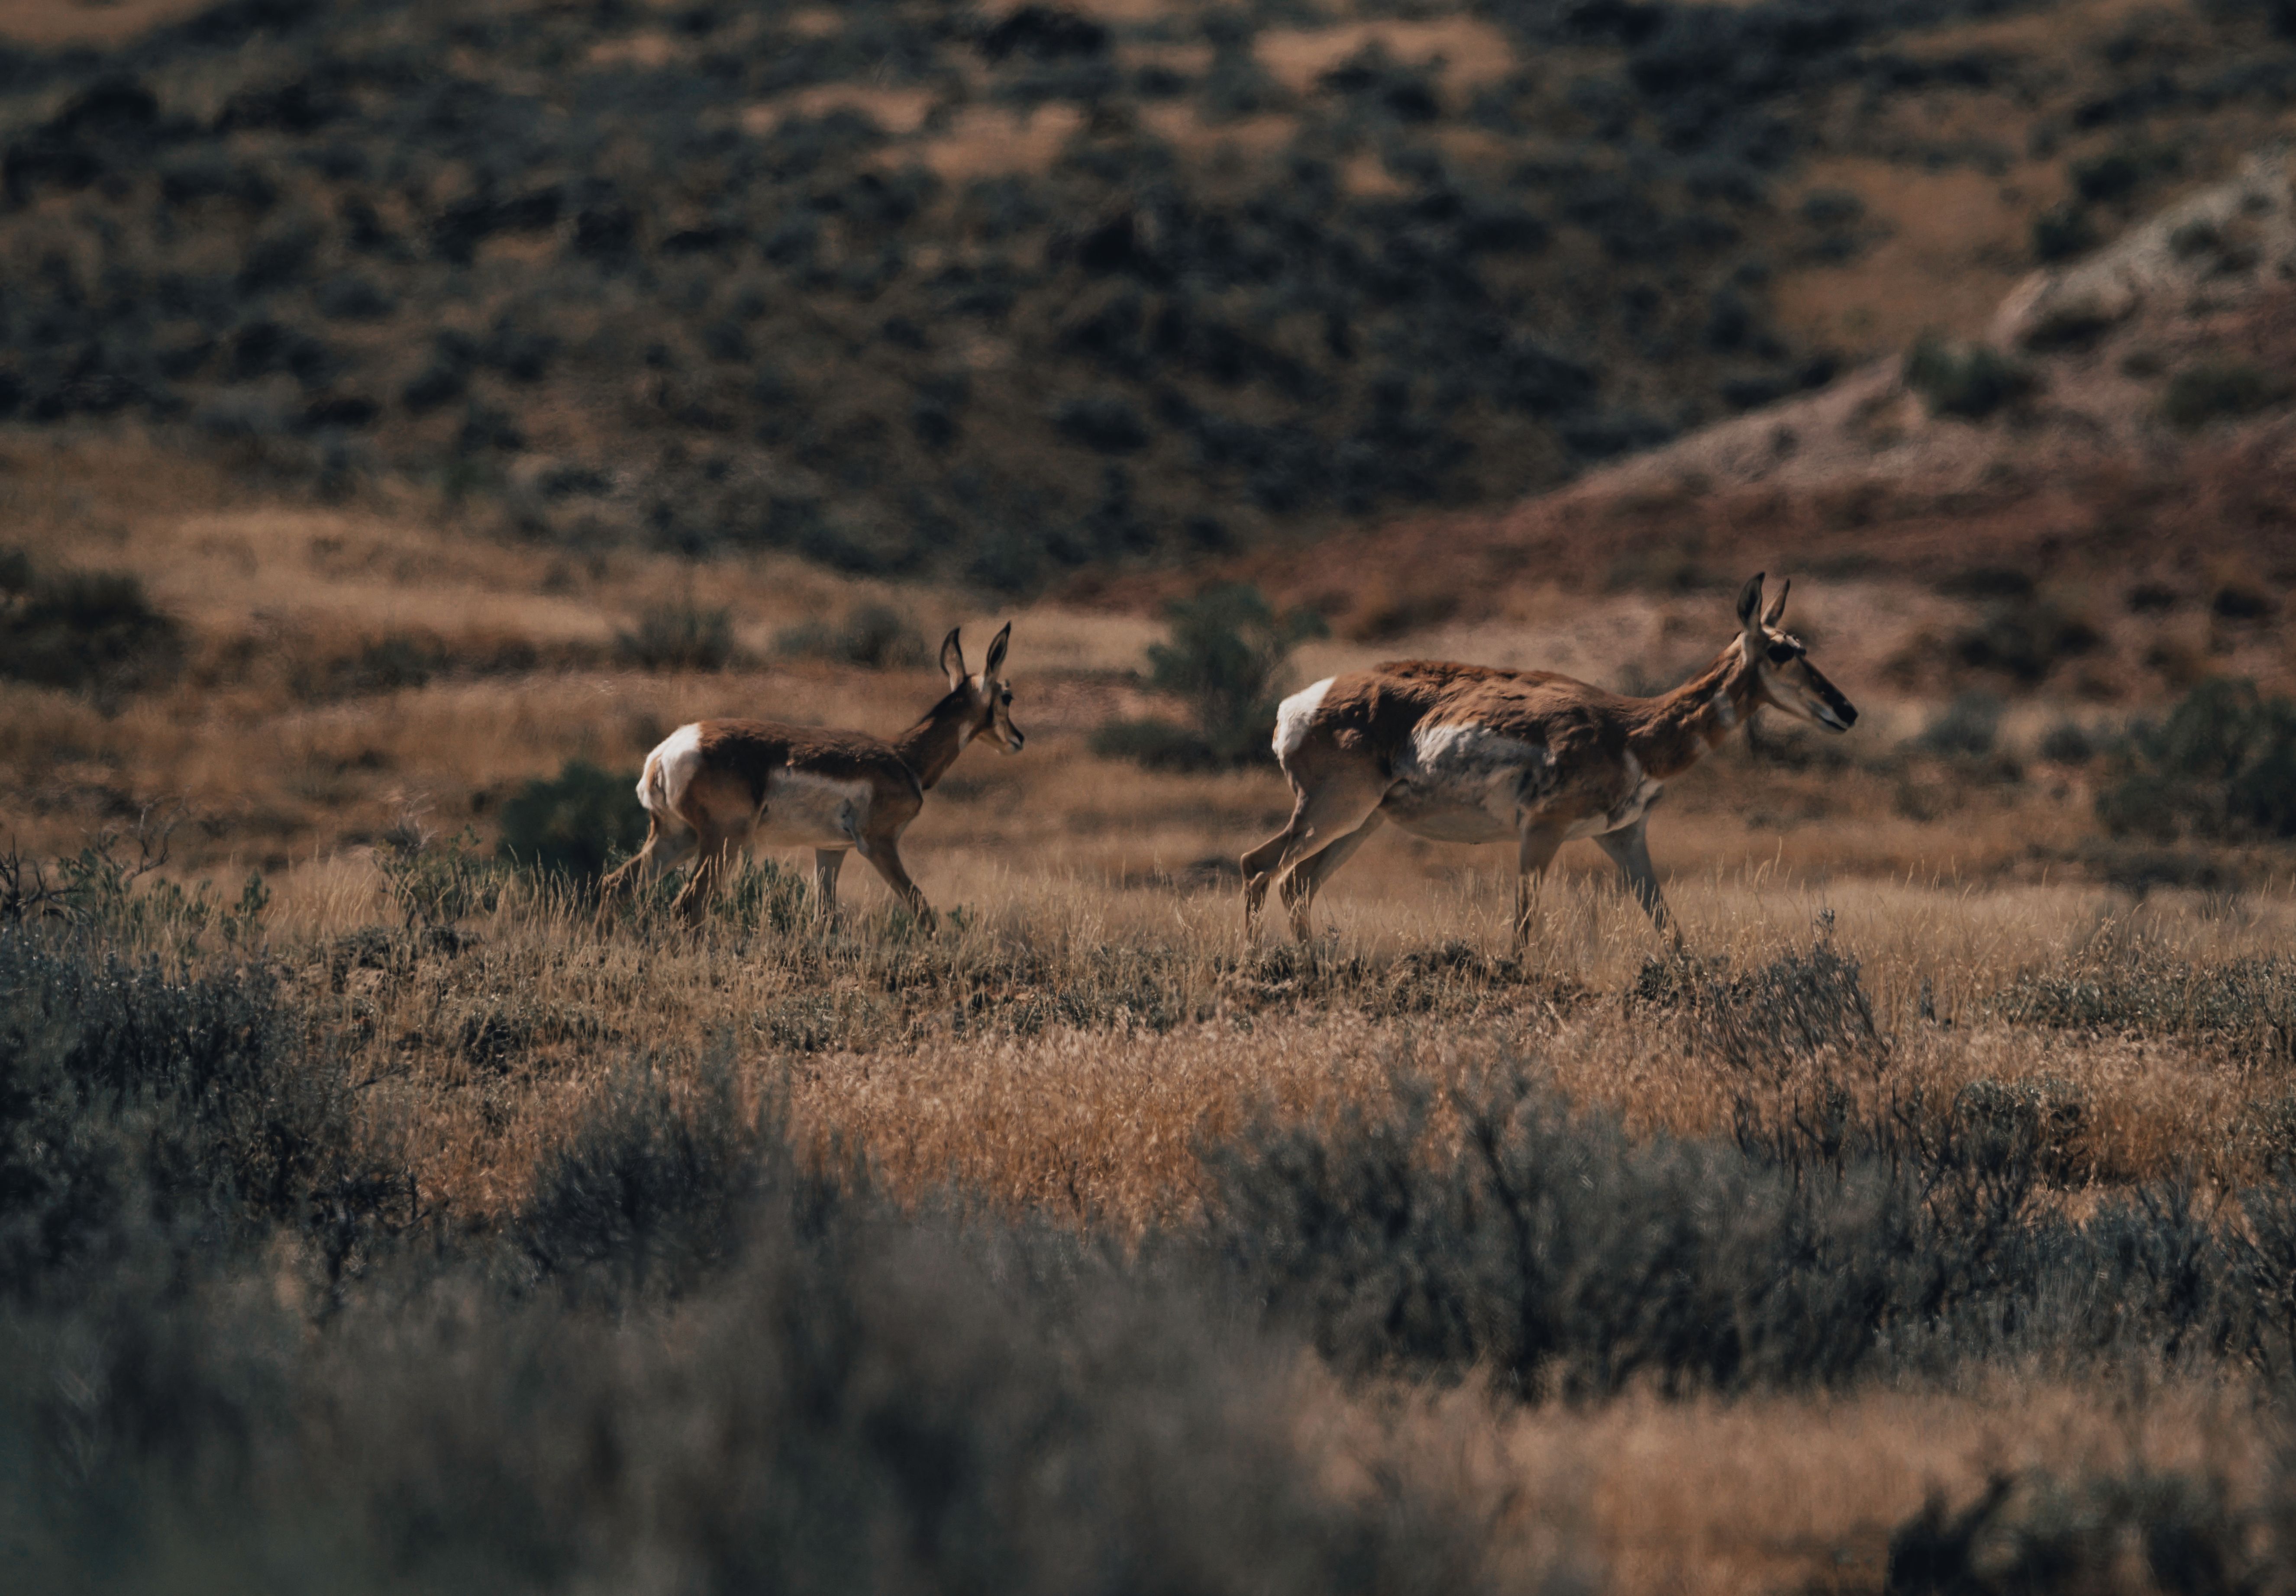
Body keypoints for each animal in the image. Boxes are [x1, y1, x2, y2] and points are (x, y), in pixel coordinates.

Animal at [599, 623, 1022, 927]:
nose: (1019, 739)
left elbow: (826, 917)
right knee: (688, 904)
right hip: (724, 842)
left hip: (678, 838)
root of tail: (667, 749)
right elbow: (922, 910)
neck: (904, 758)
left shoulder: (831, 850)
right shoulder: (878, 844)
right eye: (1008, 695)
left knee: (615, 885)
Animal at [1242, 574, 1856, 946]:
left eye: (1802, 645)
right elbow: (1522, 927)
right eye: (1778, 650)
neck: (1629, 730)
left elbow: (1667, 925)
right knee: (1258, 866)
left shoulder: (1624, 838)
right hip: (1333, 812)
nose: (1846, 710)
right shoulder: (1541, 831)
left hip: (1362, 823)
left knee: (1296, 884)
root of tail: (1299, 703)